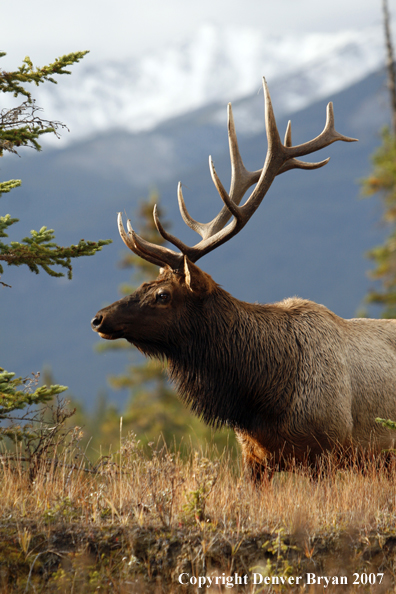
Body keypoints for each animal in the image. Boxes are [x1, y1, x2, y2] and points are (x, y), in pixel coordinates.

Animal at [91, 80, 396, 476]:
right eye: (145, 284)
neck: (261, 399)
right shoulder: (253, 458)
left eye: (162, 295)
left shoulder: (327, 450)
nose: (99, 318)